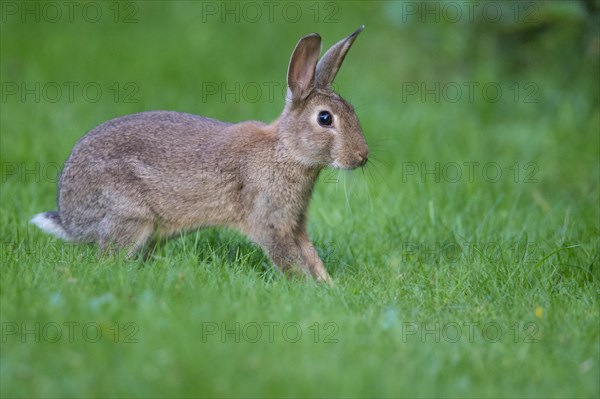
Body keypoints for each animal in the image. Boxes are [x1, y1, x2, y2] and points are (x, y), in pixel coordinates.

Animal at [32, 26, 370, 282]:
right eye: (325, 119)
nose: (362, 156)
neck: (285, 150)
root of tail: (71, 217)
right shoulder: (270, 222)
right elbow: (289, 260)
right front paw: (307, 287)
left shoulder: (295, 222)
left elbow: (311, 255)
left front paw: (329, 285)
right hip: (128, 215)